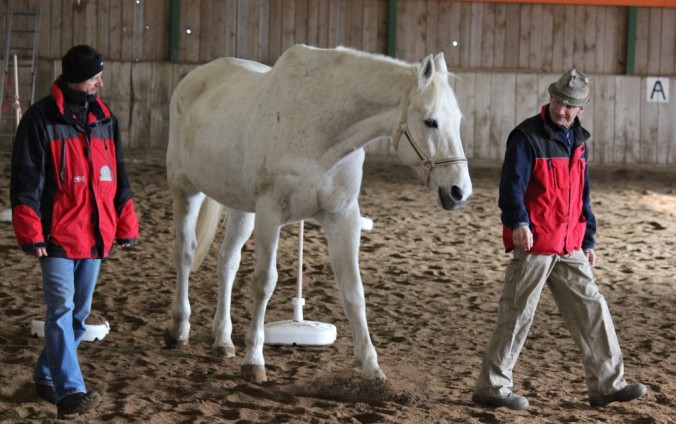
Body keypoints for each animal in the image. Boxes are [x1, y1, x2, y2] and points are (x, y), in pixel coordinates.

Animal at [165, 44, 470, 382]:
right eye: (430, 121)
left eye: (457, 119)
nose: (459, 191)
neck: (321, 129)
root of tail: (194, 78)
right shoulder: (270, 213)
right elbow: (264, 283)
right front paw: (254, 360)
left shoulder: (342, 217)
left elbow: (353, 290)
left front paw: (371, 365)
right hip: (185, 190)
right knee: (185, 253)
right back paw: (179, 329)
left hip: (242, 208)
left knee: (227, 262)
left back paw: (222, 340)